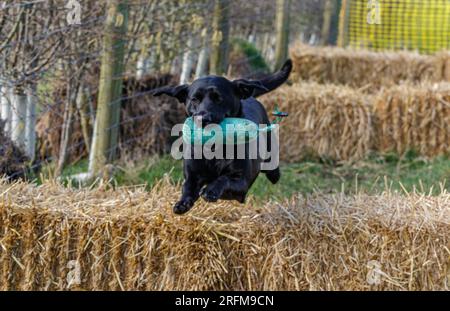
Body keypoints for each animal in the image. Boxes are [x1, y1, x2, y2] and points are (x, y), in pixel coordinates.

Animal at [151, 59, 292, 214]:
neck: (214, 148)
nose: (203, 118)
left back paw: (274, 174)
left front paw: (211, 190)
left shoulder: (242, 182)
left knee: (272, 169)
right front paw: (182, 203)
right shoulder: (192, 176)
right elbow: (187, 188)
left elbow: (224, 179)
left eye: (218, 98)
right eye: (194, 99)